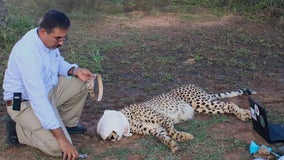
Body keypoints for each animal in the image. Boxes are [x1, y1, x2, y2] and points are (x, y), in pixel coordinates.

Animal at [96, 84, 256, 152]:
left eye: (109, 133)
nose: (112, 138)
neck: (126, 118)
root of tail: (191, 85)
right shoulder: (156, 129)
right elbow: (164, 137)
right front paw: (173, 145)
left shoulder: (163, 119)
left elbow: (172, 131)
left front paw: (184, 136)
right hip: (203, 106)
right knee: (225, 105)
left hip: (199, 102)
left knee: (229, 104)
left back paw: (244, 113)